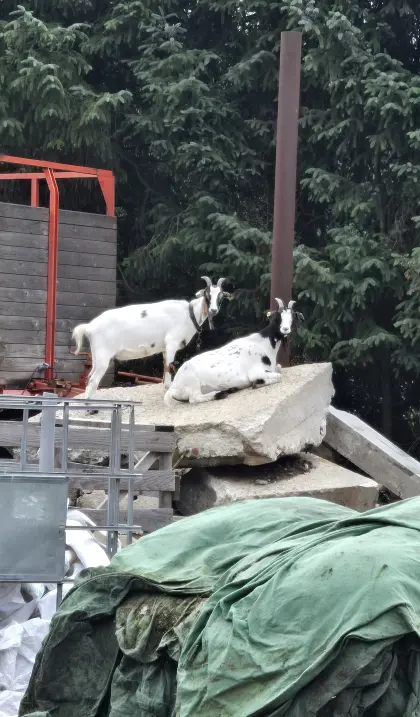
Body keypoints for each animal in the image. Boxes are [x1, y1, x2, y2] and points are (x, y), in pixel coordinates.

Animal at [72, 277, 232, 399]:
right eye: (207, 294)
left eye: (221, 296)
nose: (213, 310)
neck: (189, 313)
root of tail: (89, 327)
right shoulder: (172, 342)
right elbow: (169, 366)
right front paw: (169, 387)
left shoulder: (164, 348)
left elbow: (165, 365)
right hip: (103, 356)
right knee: (93, 380)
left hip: (96, 356)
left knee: (88, 377)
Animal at [164, 299, 301, 405]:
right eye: (278, 316)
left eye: (293, 317)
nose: (285, 329)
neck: (263, 343)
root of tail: (173, 387)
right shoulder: (256, 371)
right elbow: (278, 376)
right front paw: (257, 383)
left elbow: (279, 368)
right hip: (192, 382)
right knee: (194, 398)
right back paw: (220, 394)